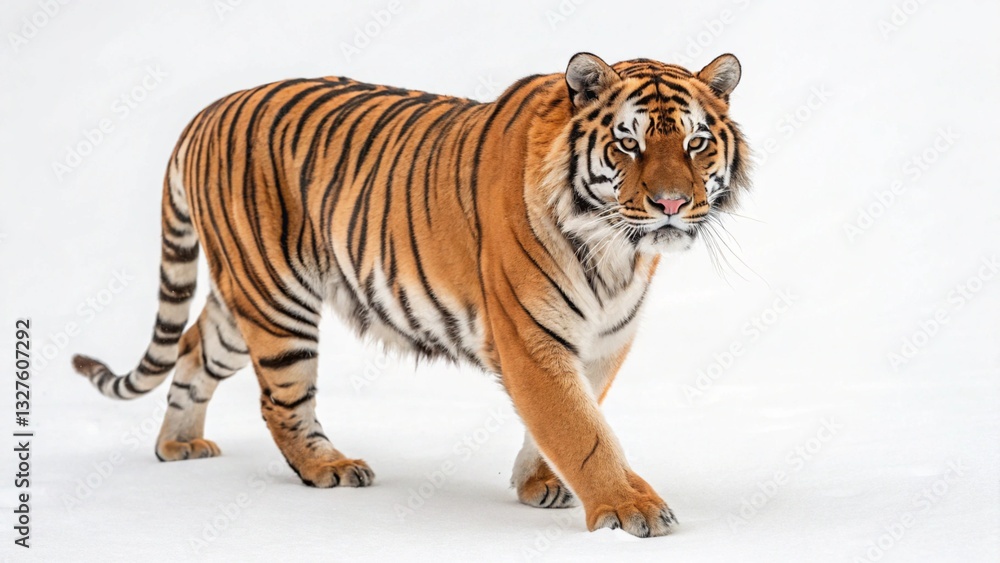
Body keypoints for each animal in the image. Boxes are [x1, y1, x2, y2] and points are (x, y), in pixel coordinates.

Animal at [72, 52, 750, 538]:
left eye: (695, 143)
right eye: (629, 143)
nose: (671, 204)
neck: (616, 250)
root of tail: (208, 110)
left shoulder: (604, 340)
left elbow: (573, 417)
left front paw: (538, 483)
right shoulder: (530, 338)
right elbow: (581, 429)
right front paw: (630, 507)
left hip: (243, 306)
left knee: (192, 350)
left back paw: (178, 446)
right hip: (276, 299)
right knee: (280, 402)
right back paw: (329, 467)